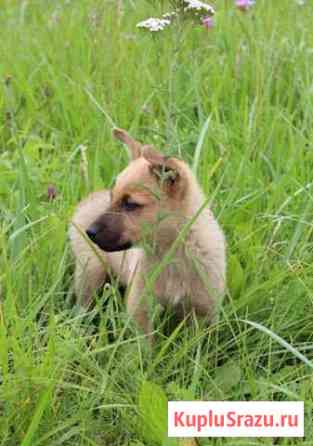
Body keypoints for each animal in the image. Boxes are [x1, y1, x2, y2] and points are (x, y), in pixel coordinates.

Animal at [69, 129, 224, 338]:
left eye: (130, 204)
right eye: (113, 197)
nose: (89, 232)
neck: (173, 253)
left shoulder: (203, 313)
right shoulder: (140, 309)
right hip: (90, 272)